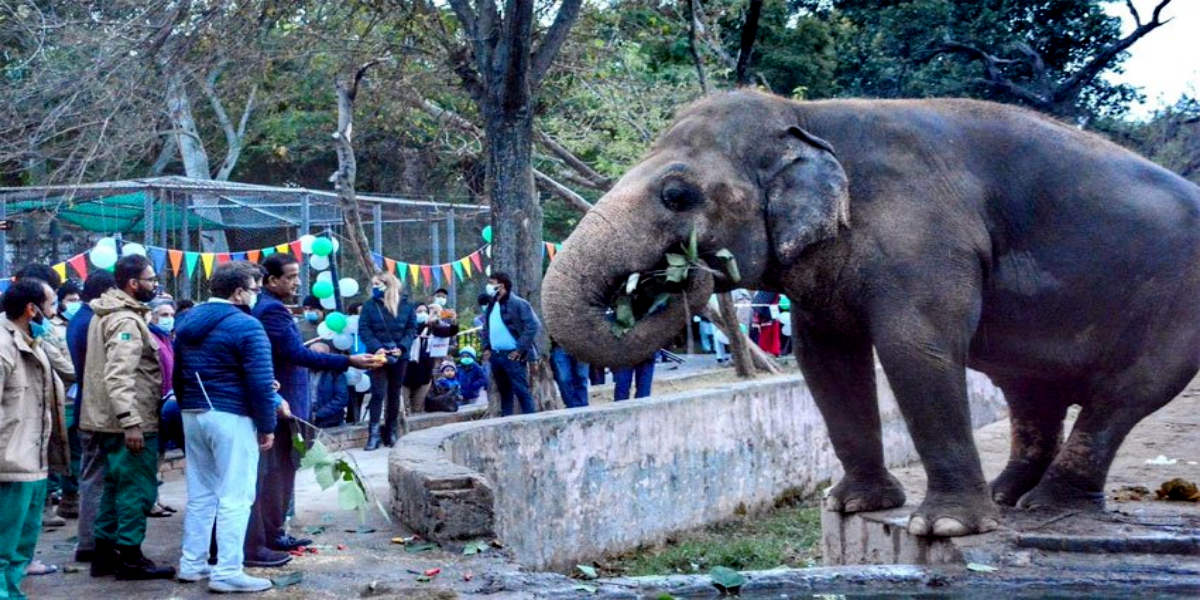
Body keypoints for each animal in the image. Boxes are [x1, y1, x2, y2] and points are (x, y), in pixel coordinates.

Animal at [542, 88, 1200, 540]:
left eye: (676, 195)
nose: (689, 269)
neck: (808, 118)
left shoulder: (924, 234)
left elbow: (915, 349)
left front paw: (944, 529)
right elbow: (826, 359)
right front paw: (852, 506)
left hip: (1178, 308)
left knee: (1125, 395)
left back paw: (1048, 505)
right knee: (1030, 393)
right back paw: (1008, 497)